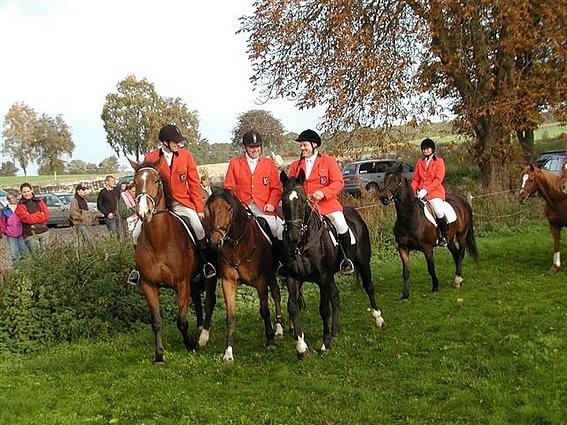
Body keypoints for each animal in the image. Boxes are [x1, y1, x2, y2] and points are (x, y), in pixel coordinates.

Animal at [129, 158, 216, 364]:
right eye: (134, 182)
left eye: (156, 181)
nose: (144, 212)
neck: (160, 242)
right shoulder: (148, 285)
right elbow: (156, 322)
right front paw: (159, 355)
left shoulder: (182, 284)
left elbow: (182, 321)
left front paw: (190, 344)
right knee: (197, 299)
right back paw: (199, 327)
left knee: (209, 301)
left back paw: (203, 333)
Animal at [204, 188, 284, 364]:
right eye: (210, 210)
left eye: (229, 209)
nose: (216, 241)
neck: (237, 245)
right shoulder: (228, 283)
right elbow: (230, 317)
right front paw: (228, 352)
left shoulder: (261, 281)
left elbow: (264, 310)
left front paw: (270, 341)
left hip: (271, 273)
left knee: (276, 294)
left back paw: (279, 328)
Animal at [280, 170, 385, 360]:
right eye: (284, 201)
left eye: (303, 200)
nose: (293, 235)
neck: (302, 244)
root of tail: (354, 214)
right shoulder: (293, 277)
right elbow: (293, 308)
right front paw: (301, 347)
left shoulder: (323, 276)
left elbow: (324, 309)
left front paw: (324, 344)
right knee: (335, 296)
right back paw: (335, 331)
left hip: (363, 263)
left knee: (368, 287)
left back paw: (378, 318)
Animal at [378, 163, 479, 299]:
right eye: (384, 180)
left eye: (395, 180)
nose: (383, 197)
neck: (410, 218)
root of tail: (462, 199)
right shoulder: (403, 248)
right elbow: (405, 272)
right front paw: (405, 295)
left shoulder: (427, 248)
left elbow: (430, 267)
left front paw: (435, 287)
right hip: (450, 239)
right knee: (456, 254)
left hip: (462, 235)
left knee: (460, 254)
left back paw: (458, 279)